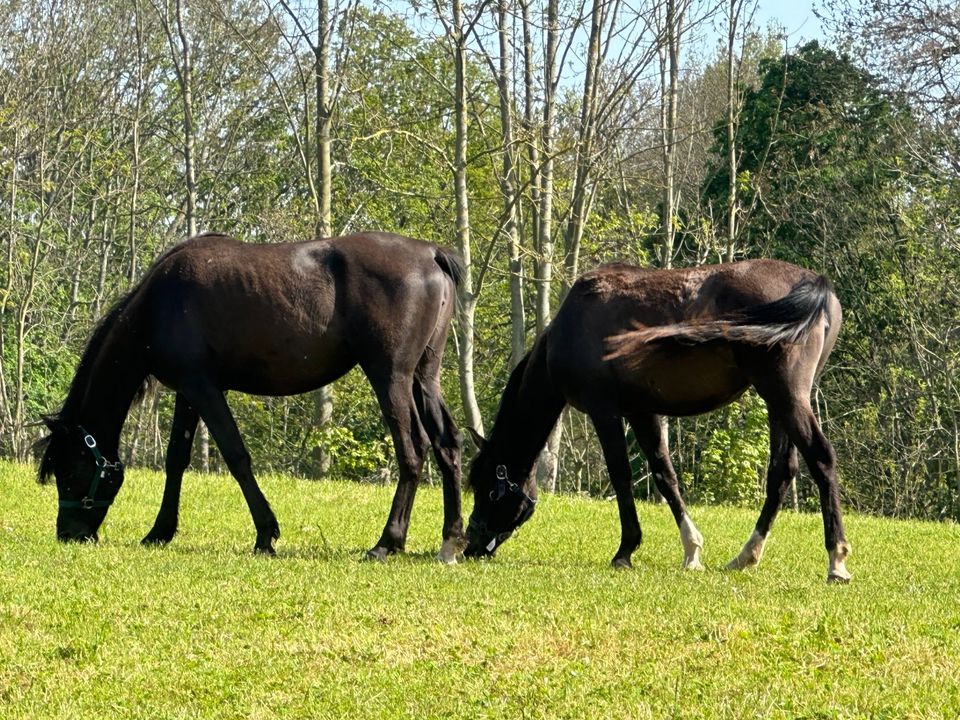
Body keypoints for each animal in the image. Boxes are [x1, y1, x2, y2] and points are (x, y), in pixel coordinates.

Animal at [39, 232, 466, 564]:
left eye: (70, 472)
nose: (69, 533)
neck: (158, 304)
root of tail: (430, 253)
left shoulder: (204, 388)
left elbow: (236, 456)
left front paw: (265, 534)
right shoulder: (188, 392)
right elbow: (176, 459)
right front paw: (160, 531)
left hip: (390, 377)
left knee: (413, 451)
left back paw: (387, 542)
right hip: (424, 378)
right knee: (446, 444)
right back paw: (451, 541)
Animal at [464, 258, 848, 584]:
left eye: (487, 487)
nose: (469, 544)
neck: (573, 324)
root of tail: (814, 283)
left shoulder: (604, 411)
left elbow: (621, 476)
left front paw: (625, 550)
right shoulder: (641, 412)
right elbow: (665, 475)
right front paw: (691, 551)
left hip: (785, 396)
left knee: (821, 459)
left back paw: (837, 561)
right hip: (779, 402)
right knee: (782, 472)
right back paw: (746, 556)